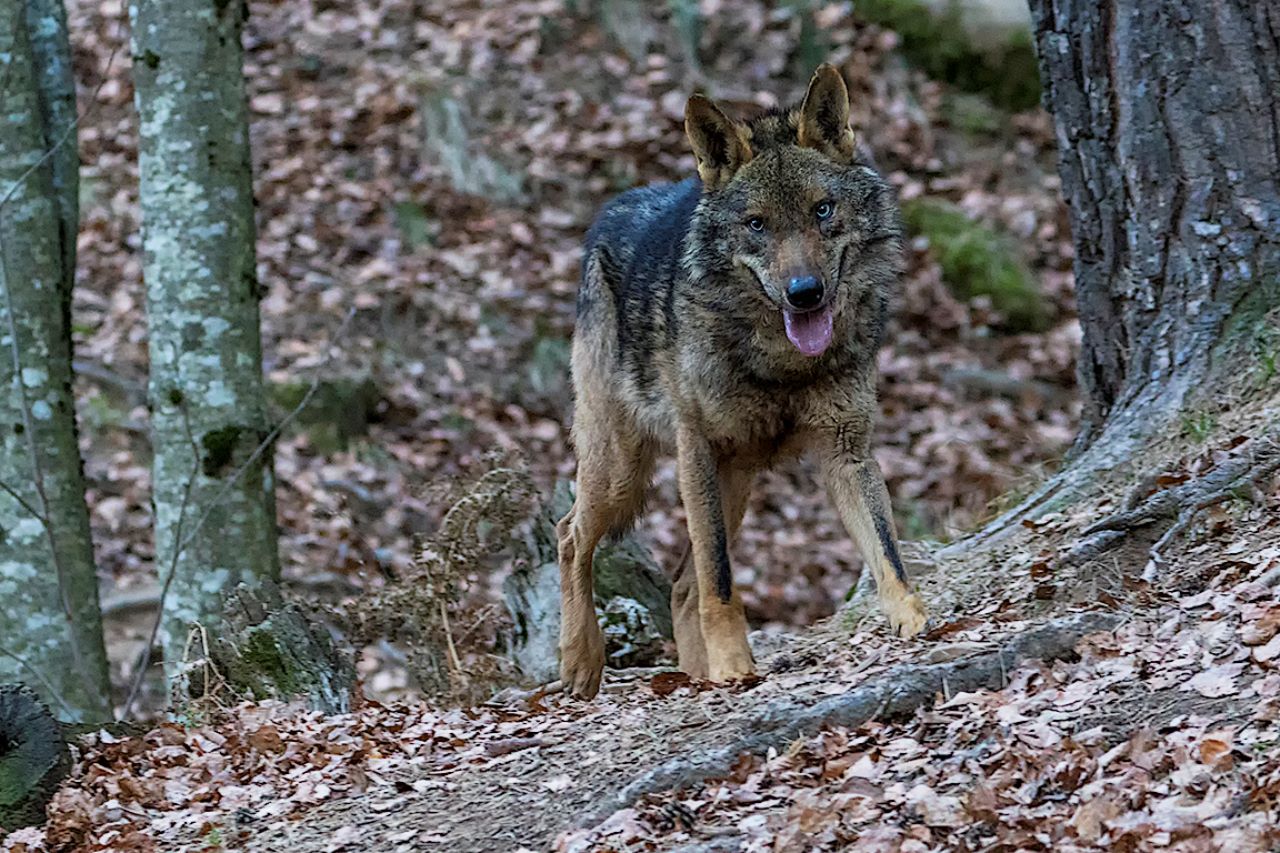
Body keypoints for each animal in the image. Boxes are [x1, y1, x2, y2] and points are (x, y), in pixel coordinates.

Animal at [557, 64, 929, 699]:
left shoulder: (846, 451)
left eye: (823, 210)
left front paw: (914, 618)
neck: (783, 363)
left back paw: (692, 676)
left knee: (682, 585)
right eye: (756, 224)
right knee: (570, 537)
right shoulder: (697, 448)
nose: (804, 293)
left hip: (731, 481)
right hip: (625, 473)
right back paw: (581, 662)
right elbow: (722, 582)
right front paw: (734, 666)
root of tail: (612, 206)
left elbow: (887, 549)